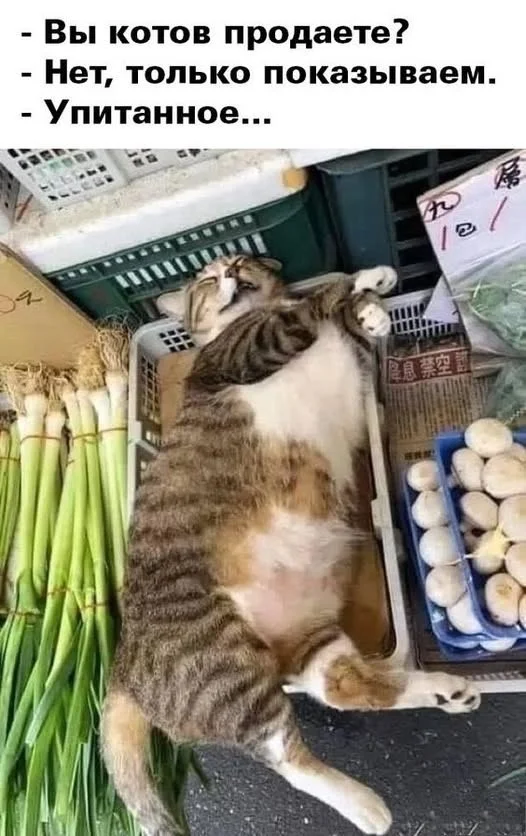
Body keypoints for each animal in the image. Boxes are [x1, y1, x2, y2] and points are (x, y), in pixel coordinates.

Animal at [102, 256, 480, 836]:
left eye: (240, 262)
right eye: (206, 280)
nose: (230, 270)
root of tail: (123, 663)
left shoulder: (345, 365)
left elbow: (345, 326)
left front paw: (373, 313)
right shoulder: (246, 349)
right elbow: (316, 298)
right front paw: (367, 282)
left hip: (308, 637)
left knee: (344, 686)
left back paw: (443, 691)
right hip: (227, 667)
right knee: (288, 759)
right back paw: (367, 807)